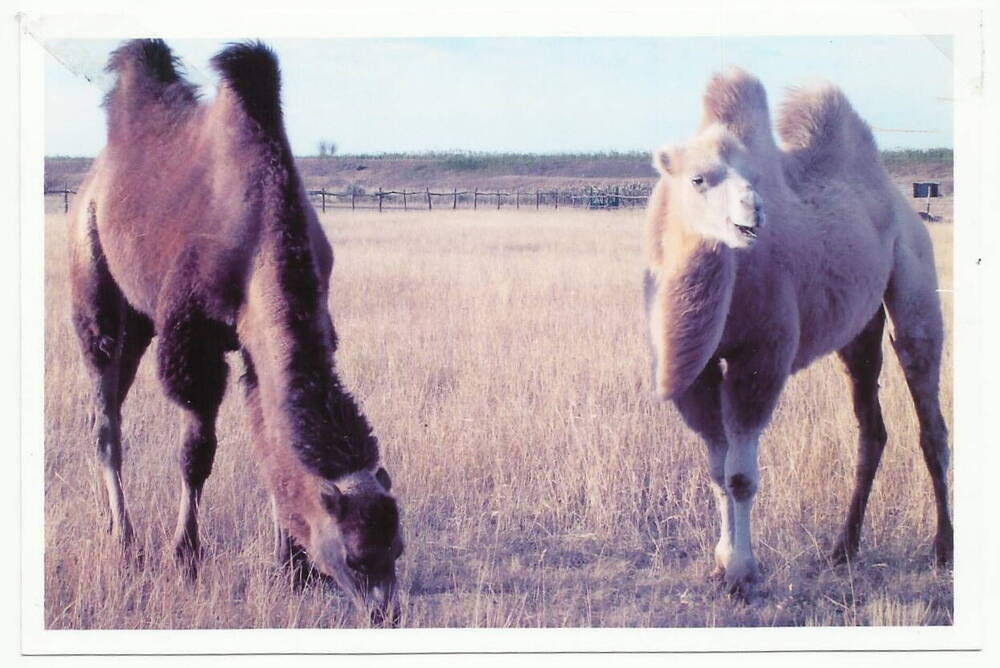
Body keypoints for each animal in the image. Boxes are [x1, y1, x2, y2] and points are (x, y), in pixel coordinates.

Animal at [67, 40, 406, 628]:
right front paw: (185, 557)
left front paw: (291, 567)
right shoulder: (193, 341)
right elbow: (196, 453)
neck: (260, 240)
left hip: (140, 320)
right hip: (93, 279)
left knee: (105, 406)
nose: (386, 614)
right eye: (356, 557)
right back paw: (127, 544)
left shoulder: (257, 343)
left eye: (398, 549)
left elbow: (266, 436)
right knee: (106, 415)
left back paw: (115, 526)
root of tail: (93, 179)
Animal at [644, 68, 948, 592]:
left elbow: (740, 476)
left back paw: (943, 551)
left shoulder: (761, 357)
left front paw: (743, 573)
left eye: (756, 177)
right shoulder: (698, 370)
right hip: (859, 331)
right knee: (872, 428)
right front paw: (722, 562)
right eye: (698, 178)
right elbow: (716, 470)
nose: (754, 213)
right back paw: (843, 548)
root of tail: (899, 201)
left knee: (930, 419)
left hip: (915, 280)